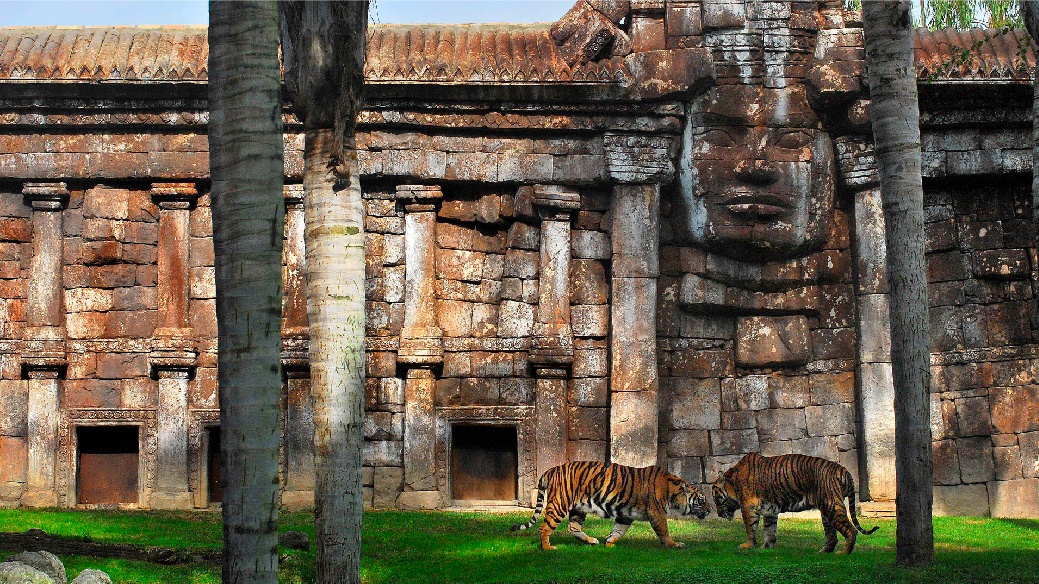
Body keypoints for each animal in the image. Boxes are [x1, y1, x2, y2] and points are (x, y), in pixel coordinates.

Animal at [510, 461, 710, 550]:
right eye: (701, 500)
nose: (709, 511)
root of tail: (551, 469)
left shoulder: (625, 515)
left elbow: (618, 531)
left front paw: (609, 543)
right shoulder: (657, 513)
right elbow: (664, 531)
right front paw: (674, 544)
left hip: (578, 509)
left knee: (572, 528)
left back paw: (591, 541)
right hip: (559, 505)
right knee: (544, 528)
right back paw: (548, 548)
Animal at [712, 452, 878, 554]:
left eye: (716, 499)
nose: (718, 514)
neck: (732, 482)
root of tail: (843, 469)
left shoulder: (748, 508)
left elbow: (750, 528)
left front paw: (748, 546)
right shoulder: (770, 510)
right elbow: (769, 530)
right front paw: (766, 548)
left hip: (832, 506)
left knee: (851, 530)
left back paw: (843, 553)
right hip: (827, 510)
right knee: (832, 535)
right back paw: (823, 552)